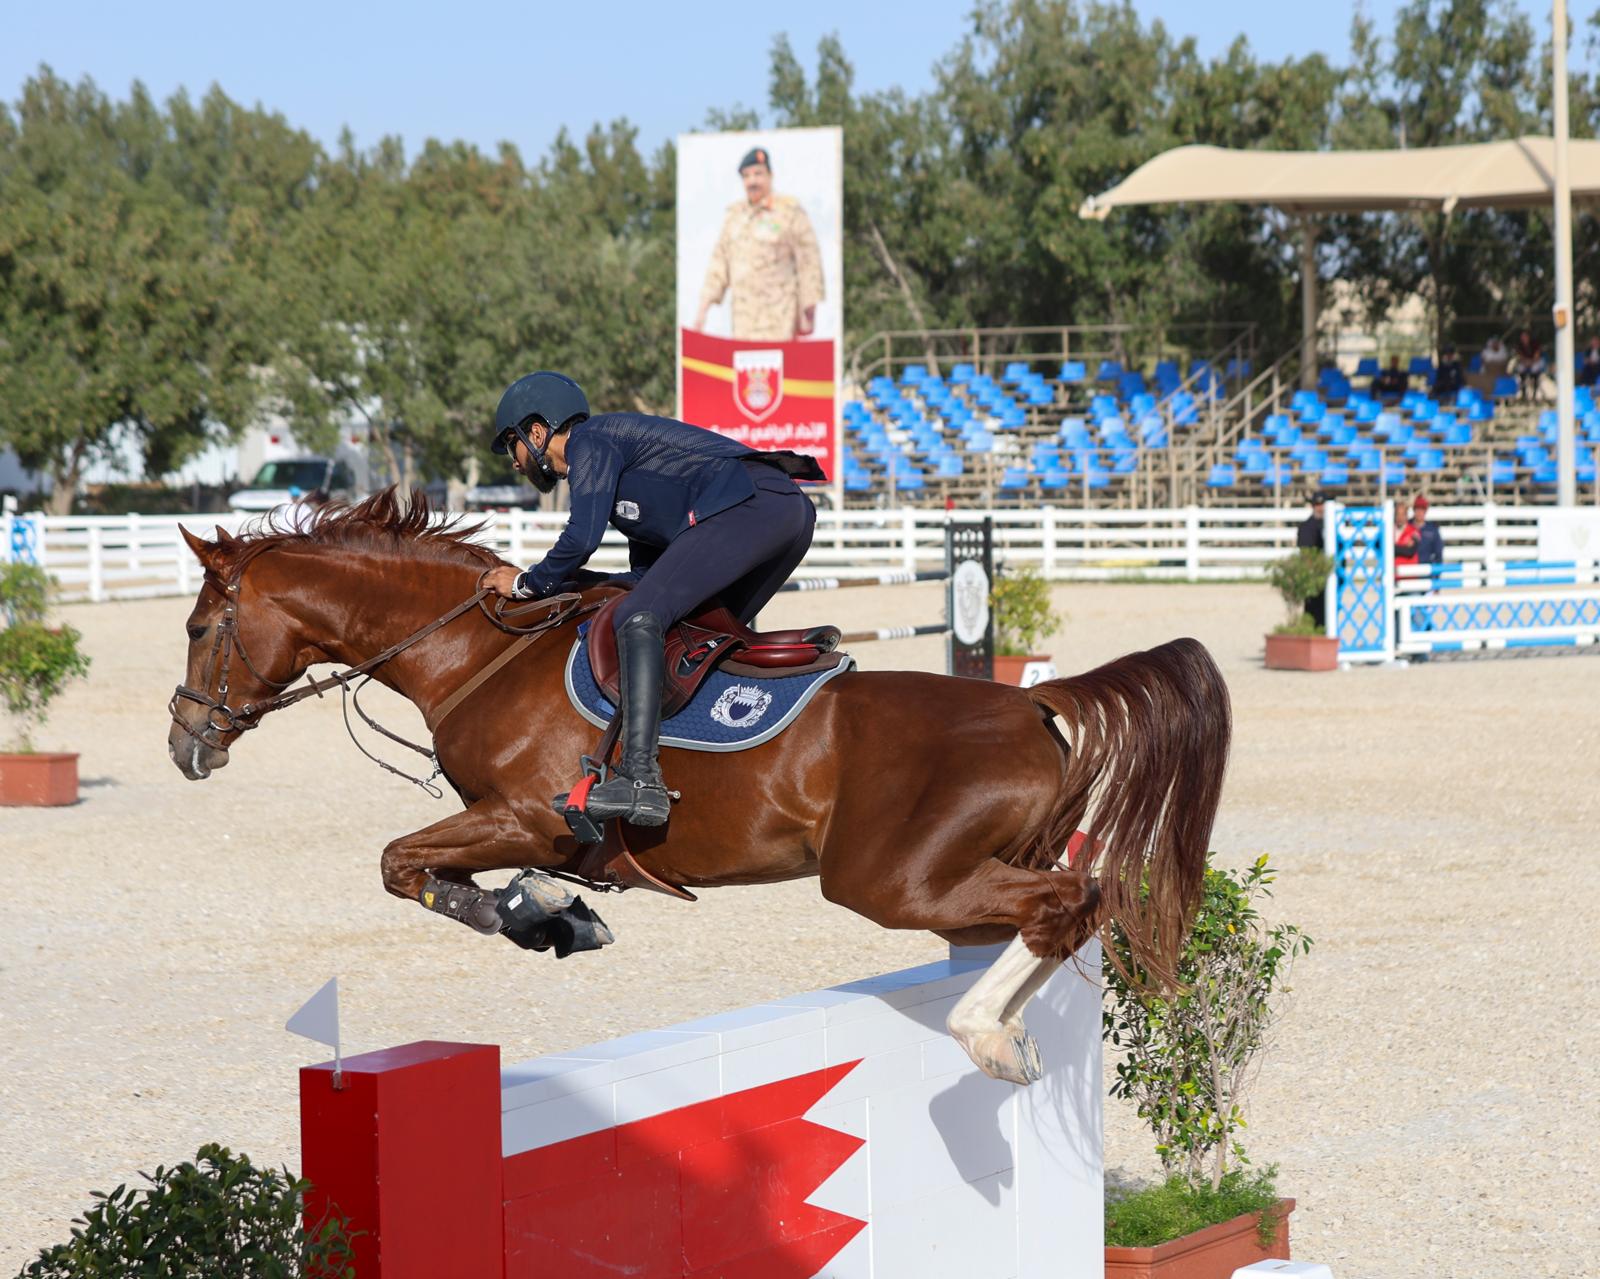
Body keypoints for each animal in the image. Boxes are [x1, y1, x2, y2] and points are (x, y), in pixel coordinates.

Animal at [166, 490, 1231, 1084]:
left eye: (199, 626)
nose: (185, 744)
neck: (475, 651)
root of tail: (1035, 701)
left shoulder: (528, 818)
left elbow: (400, 863)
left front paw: (536, 913)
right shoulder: (507, 824)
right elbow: (431, 870)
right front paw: (551, 915)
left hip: (889, 878)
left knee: (1072, 899)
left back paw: (985, 1034)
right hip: (964, 870)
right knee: (1064, 908)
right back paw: (1002, 1023)